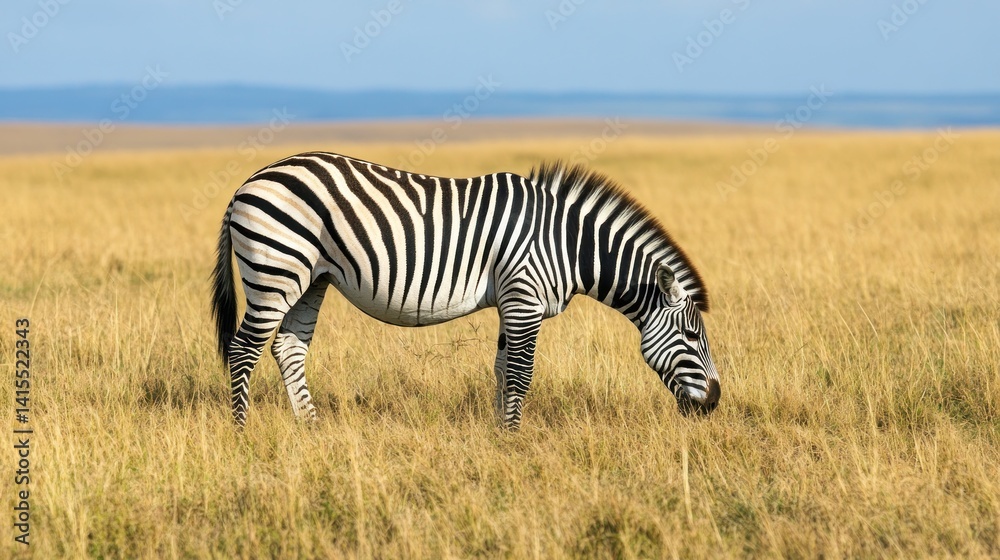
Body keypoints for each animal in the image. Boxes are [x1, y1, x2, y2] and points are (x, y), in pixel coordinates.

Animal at [211, 152, 721, 430]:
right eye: (693, 337)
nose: (715, 403)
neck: (568, 244)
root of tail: (246, 183)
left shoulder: (512, 301)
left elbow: (502, 369)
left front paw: (499, 434)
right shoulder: (523, 297)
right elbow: (520, 374)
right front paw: (514, 438)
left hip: (311, 278)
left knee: (289, 348)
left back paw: (310, 428)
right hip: (275, 269)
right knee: (243, 349)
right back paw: (242, 432)